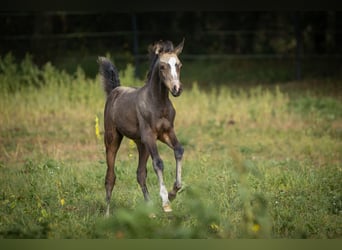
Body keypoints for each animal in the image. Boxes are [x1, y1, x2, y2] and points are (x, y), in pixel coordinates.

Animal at [97, 38, 184, 215]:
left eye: (179, 65)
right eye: (162, 66)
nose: (176, 89)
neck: (158, 103)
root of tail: (114, 90)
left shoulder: (166, 132)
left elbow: (179, 150)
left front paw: (174, 191)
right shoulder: (150, 135)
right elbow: (158, 163)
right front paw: (166, 202)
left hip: (142, 144)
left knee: (140, 173)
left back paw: (150, 210)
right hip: (112, 139)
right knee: (110, 176)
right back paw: (107, 215)